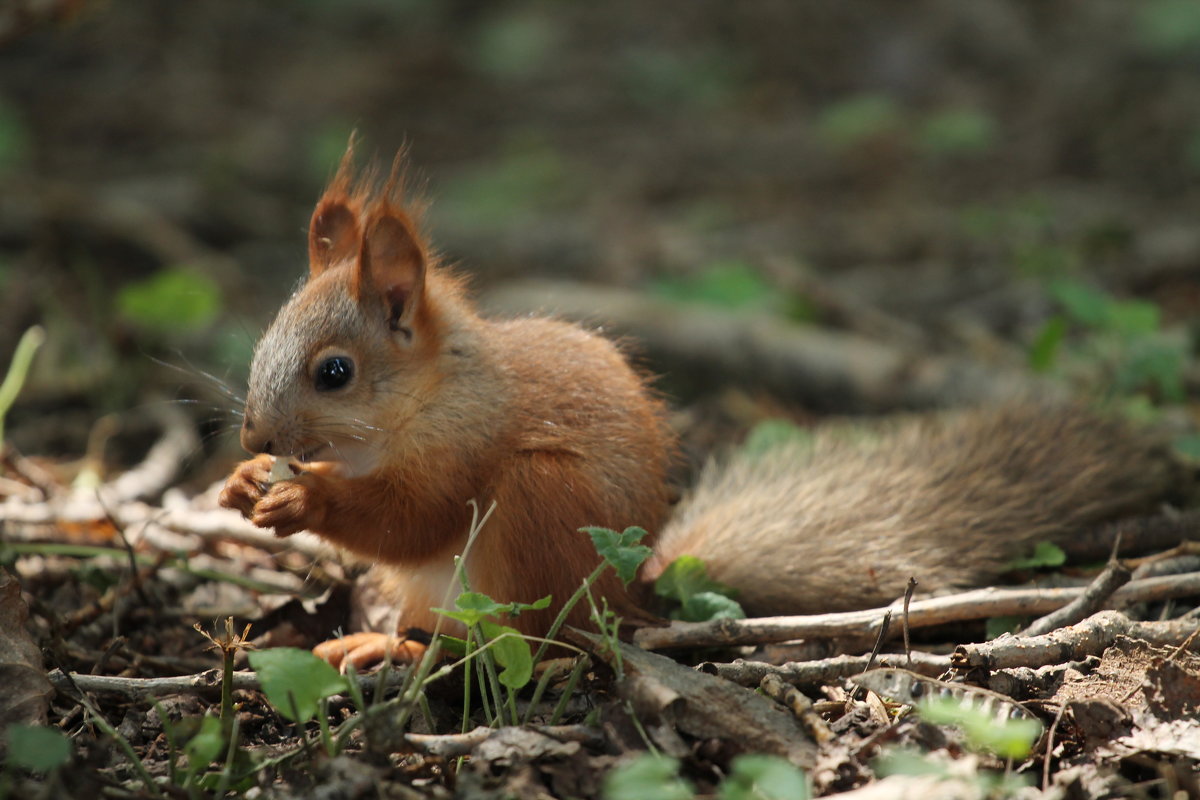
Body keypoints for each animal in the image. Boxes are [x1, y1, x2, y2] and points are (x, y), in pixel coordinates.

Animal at [220, 143, 1176, 662]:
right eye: (265, 332)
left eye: (334, 373)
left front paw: (303, 499)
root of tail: (634, 596)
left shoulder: (468, 445)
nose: (254, 433)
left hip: (536, 509)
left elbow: (411, 516)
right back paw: (376, 638)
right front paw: (238, 485)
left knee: (528, 643)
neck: (414, 406)